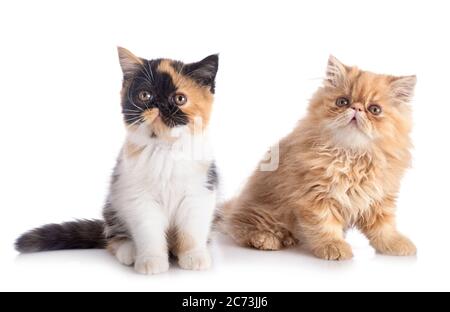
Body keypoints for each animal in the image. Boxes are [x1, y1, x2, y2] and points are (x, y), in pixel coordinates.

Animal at [16, 46, 221, 272]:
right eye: (144, 95)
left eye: (179, 99)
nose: (159, 105)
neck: (163, 149)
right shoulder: (138, 198)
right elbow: (149, 231)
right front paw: (151, 260)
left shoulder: (199, 192)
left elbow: (192, 230)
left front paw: (194, 256)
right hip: (113, 205)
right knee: (112, 237)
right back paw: (129, 250)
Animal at [223, 56, 416, 260]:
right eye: (342, 101)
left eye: (374, 109)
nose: (356, 108)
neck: (352, 156)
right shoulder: (315, 196)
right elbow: (324, 225)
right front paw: (334, 246)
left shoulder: (380, 198)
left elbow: (384, 228)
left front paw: (395, 244)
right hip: (266, 212)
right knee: (241, 227)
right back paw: (267, 239)